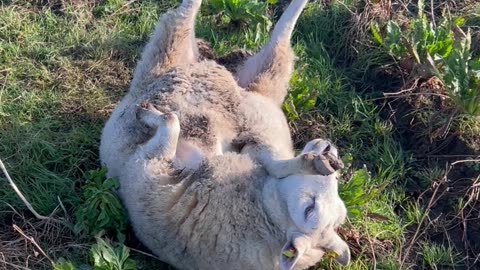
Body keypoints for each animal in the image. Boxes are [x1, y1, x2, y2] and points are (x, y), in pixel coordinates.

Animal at [122, 104, 350, 270]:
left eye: (308, 209)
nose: (327, 147)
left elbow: (273, 165)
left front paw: (313, 163)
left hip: (154, 159)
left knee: (171, 121)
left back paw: (146, 112)